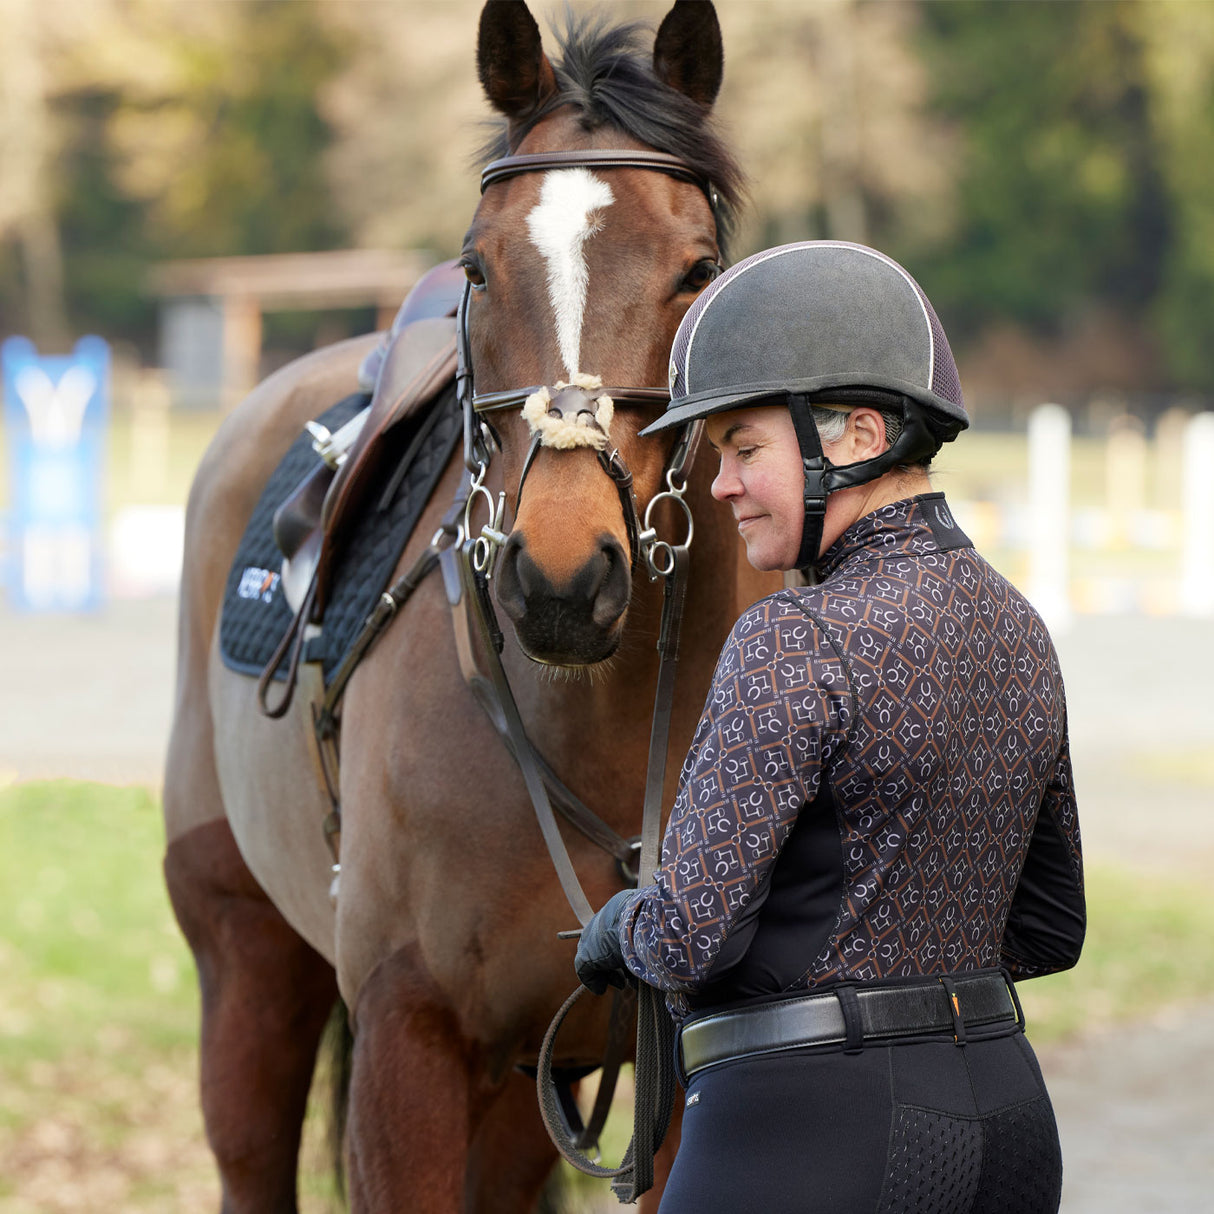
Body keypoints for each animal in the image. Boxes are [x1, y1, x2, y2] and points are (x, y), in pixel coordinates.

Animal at [161, 4, 776, 1209]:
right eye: (477, 269)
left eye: (696, 270)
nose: (561, 580)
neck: (592, 725)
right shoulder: (411, 1039)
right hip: (248, 962)